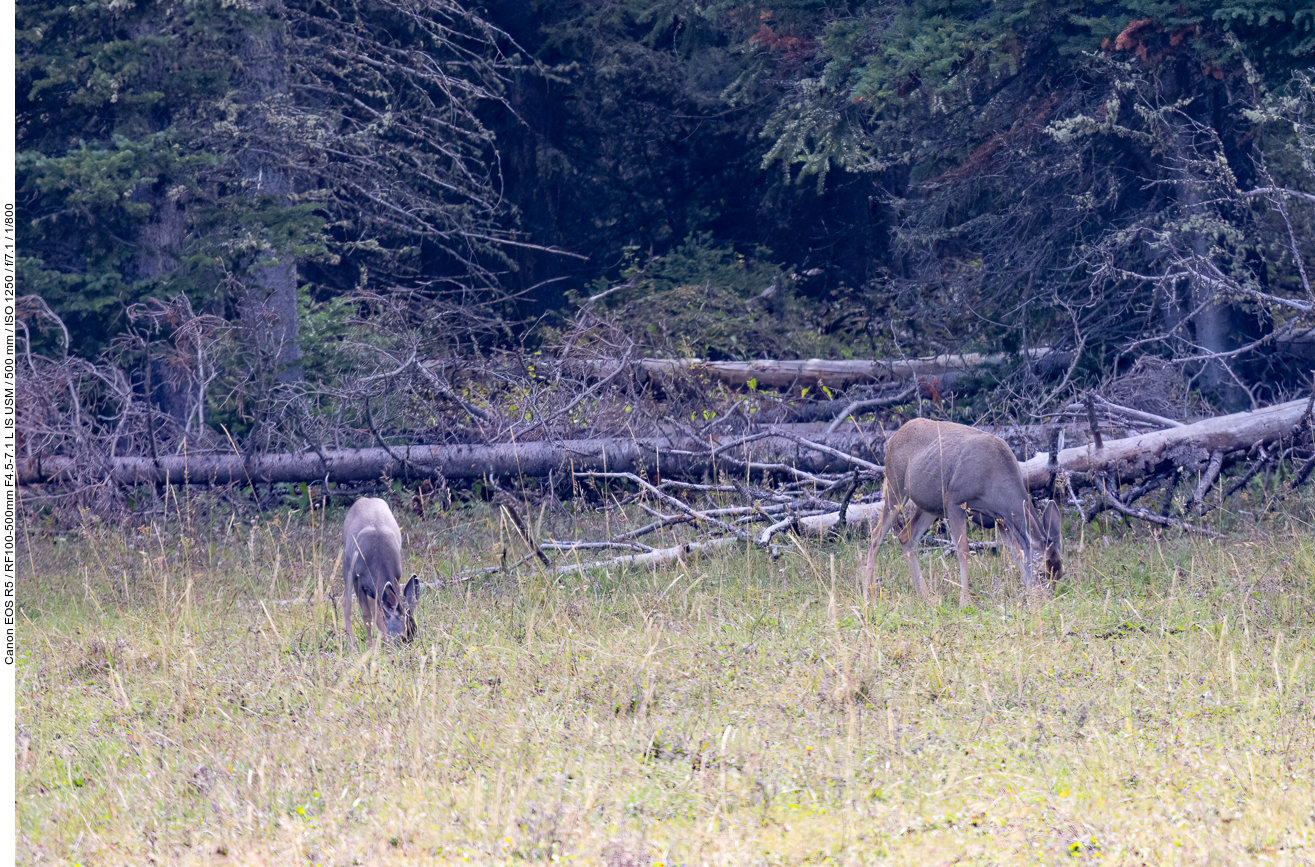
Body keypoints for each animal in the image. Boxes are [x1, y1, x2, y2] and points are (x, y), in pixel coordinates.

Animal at [341, 497, 418, 647]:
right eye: (401, 636)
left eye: (414, 633)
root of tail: (365, 498)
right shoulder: (358, 580)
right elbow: (367, 616)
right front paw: (370, 646)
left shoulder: (395, 578)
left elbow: (380, 615)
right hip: (346, 564)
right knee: (346, 605)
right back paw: (351, 645)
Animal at [862, 418, 1067, 607]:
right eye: (1042, 572)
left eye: (1060, 574)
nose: (1045, 602)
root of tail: (893, 438)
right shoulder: (955, 501)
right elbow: (963, 550)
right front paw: (964, 602)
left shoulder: (999, 520)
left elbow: (1017, 553)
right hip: (895, 485)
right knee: (877, 534)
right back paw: (867, 594)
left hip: (931, 505)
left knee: (906, 536)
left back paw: (925, 595)